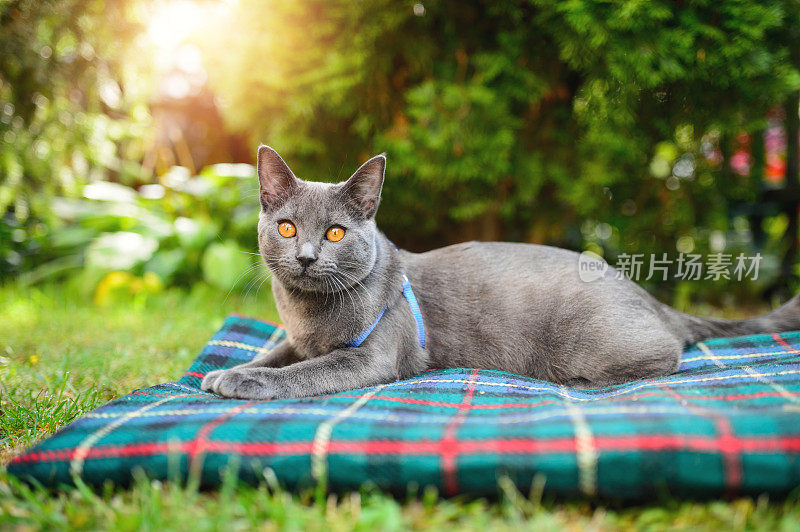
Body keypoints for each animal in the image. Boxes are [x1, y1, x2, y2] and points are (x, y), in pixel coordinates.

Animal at [200, 145, 800, 400]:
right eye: (285, 228)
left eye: (334, 234)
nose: (305, 257)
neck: (307, 312)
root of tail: (650, 298)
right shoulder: (295, 338)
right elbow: (276, 354)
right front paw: (224, 371)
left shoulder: (369, 357)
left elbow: (303, 373)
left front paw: (239, 381)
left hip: (590, 340)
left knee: (666, 356)